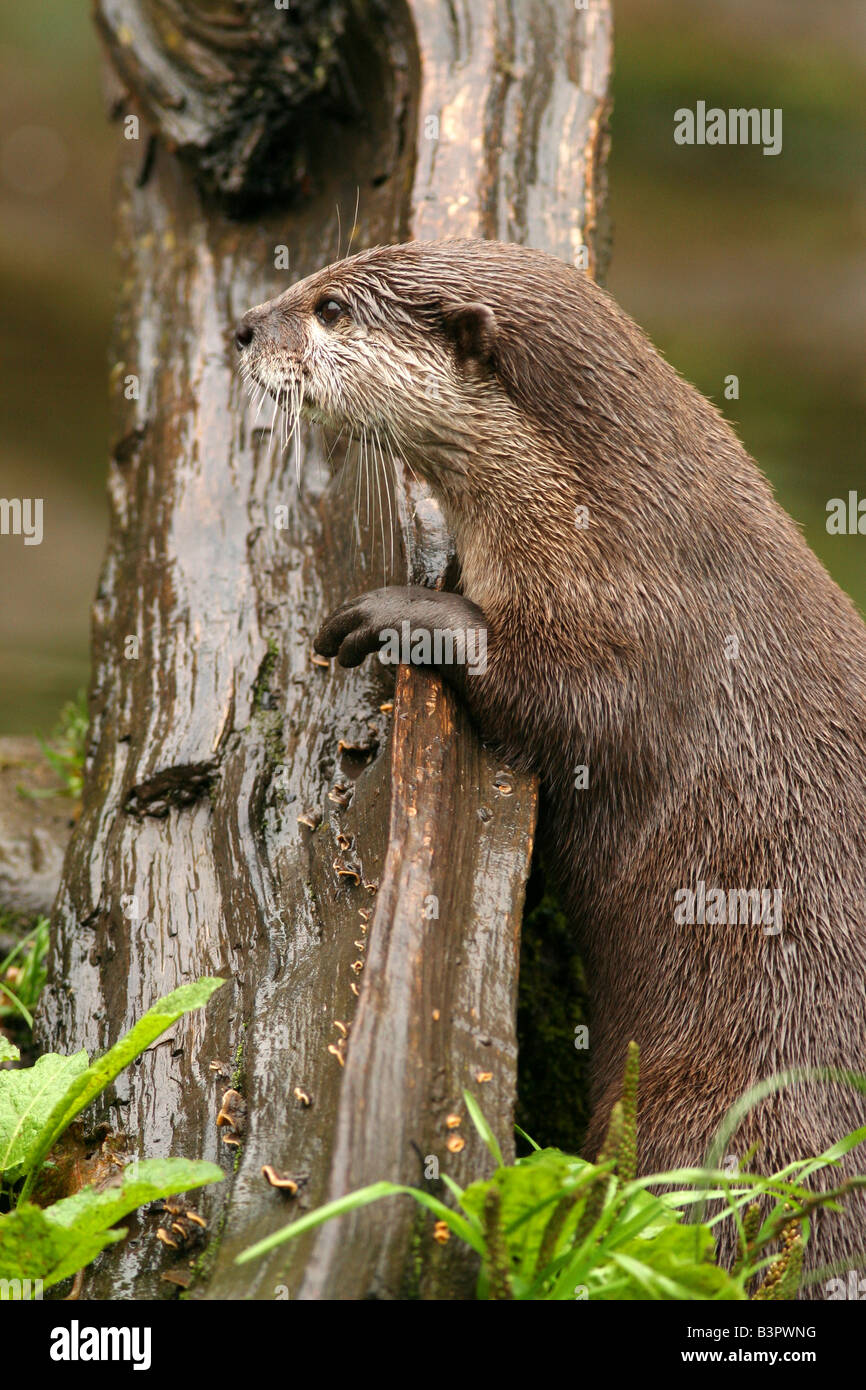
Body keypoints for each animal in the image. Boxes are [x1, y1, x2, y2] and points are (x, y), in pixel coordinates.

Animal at [236, 239, 866, 1294]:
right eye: (323, 274)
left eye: (329, 309)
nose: (244, 327)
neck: (600, 522)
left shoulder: (646, 638)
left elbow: (561, 699)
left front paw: (408, 612)